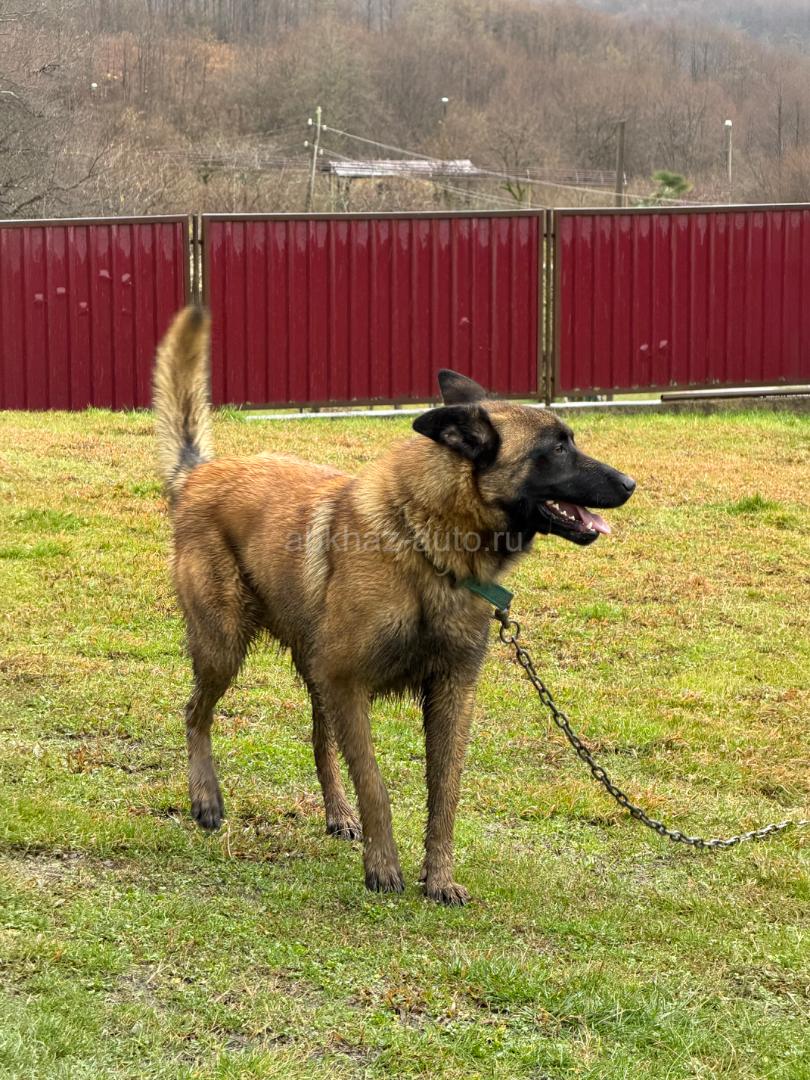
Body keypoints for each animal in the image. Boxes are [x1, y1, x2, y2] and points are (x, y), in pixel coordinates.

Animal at [153, 306, 635, 905]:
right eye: (558, 448)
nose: (630, 483)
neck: (427, 546)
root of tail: (199, 474)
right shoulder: (349, 683)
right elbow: (376, 785)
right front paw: (383, 868)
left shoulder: (451, 692)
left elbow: (444, 793)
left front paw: (440, 877)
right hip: (225, 647)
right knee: (195, 713)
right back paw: (206, 799)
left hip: (314, 671)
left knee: (319, 741)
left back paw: (337, 813)